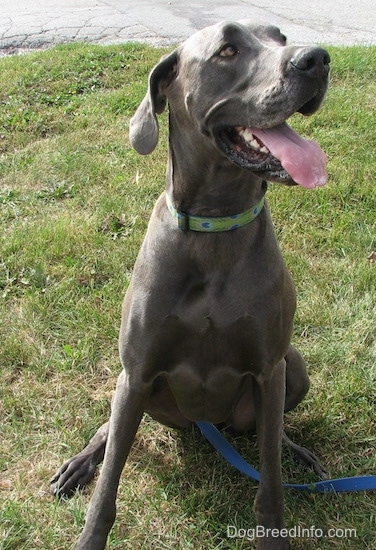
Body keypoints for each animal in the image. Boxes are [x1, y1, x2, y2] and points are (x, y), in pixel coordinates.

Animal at [50, 19, 328, 548]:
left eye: (281, 38)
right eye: (228, 50)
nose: (318, 59)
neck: (214, 230)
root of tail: (205, 426)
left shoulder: (268, 368)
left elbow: (269, 483)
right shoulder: (138, 371)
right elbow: (109, 487)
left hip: (293, 364)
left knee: (272, 431)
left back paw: (296, 450)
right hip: (130, 384)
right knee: (110, 427)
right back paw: (80, 462)